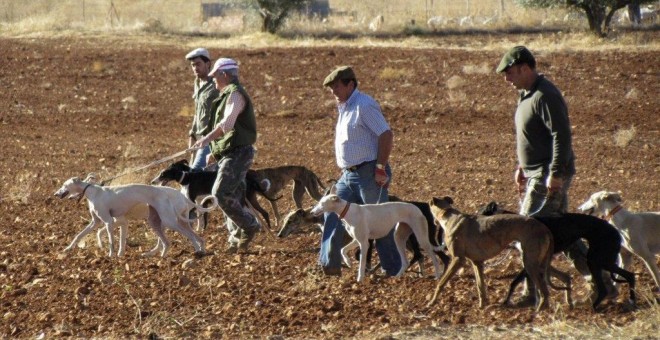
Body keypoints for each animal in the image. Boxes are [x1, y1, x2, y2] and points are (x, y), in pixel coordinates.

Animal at [152, 160, 282, 230]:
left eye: (163, 174)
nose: (153, 181)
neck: (188, 177)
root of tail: (250, 179)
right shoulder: (200, 202)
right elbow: (200, 216)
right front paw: (200, 228)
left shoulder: (195, 201)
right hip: (246, 200)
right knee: (257, 214)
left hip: (245, 200)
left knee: (259, 213)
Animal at [480, 202, 636, 310]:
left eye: (482, 212)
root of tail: (614, 231)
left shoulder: (530, 261)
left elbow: (514, 282)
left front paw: (505, 301)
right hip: (601, 260)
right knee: (629, 276)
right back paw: (631, 301)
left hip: (596, 260)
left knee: (609, 286)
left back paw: (594, 307)